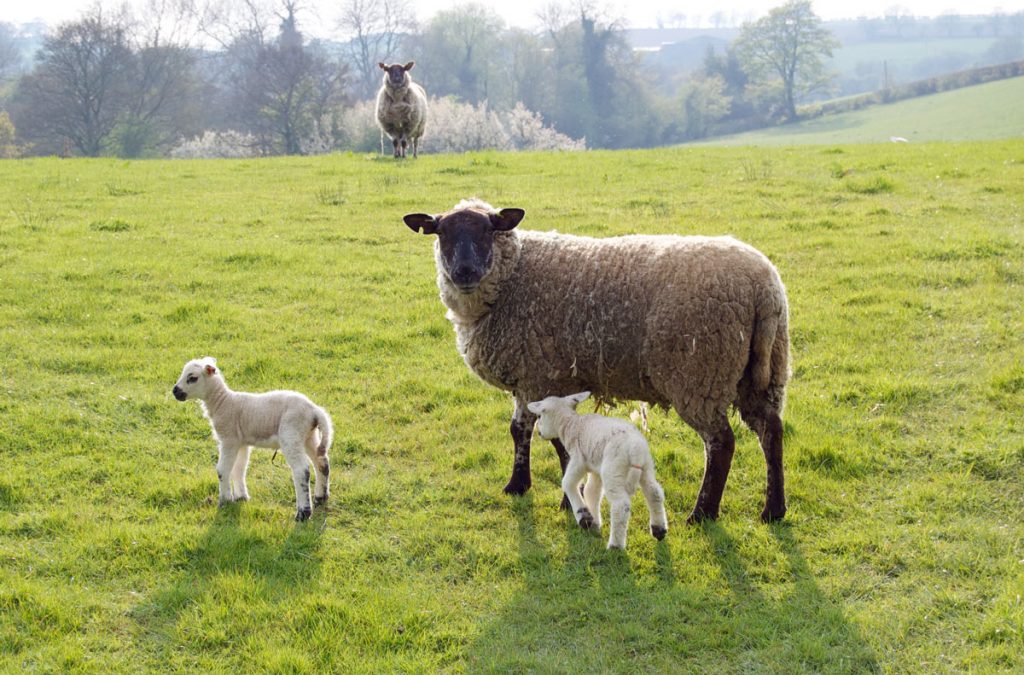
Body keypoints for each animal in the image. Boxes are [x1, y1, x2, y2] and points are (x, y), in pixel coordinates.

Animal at [172, 358, 331, 522]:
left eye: (192, 378)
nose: (175, 391)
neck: (222, 402)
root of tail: (314, 410)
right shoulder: (241, 443)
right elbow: (239, 468)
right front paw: (241, 497)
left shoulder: (228, 439)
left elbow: (222, 470)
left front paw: (224, 501)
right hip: (308, 436)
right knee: (322, 462)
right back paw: (320, 498)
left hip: (291, 434)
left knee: (302, 470)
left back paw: (303, 513)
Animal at [405, 197, 790, 524]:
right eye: (441, 233)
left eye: (489, 229)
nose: (464, 272)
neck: (513, 276)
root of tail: (764, 287)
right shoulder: (531, 376)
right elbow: (519, 430)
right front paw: (518, 486)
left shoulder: (541, 376)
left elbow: (553, 439)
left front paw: (567, 498)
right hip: (761, 372)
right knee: (771, 431)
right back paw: (773, 510)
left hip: (700, 372)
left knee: (721, 443)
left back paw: (703, 514)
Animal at [528, 391, 671, 549]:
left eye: (539, 416)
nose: (539, 433)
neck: (571, 424)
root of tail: (635, 450)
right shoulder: (595, 467)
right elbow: (591, 491)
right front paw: (594, 522)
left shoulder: (578, 460)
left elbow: (568, 483)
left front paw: (583, 516)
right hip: (646, 466)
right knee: (654, 493)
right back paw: (659, 530)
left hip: (613, 469)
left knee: (621, 504)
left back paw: (615, 546)